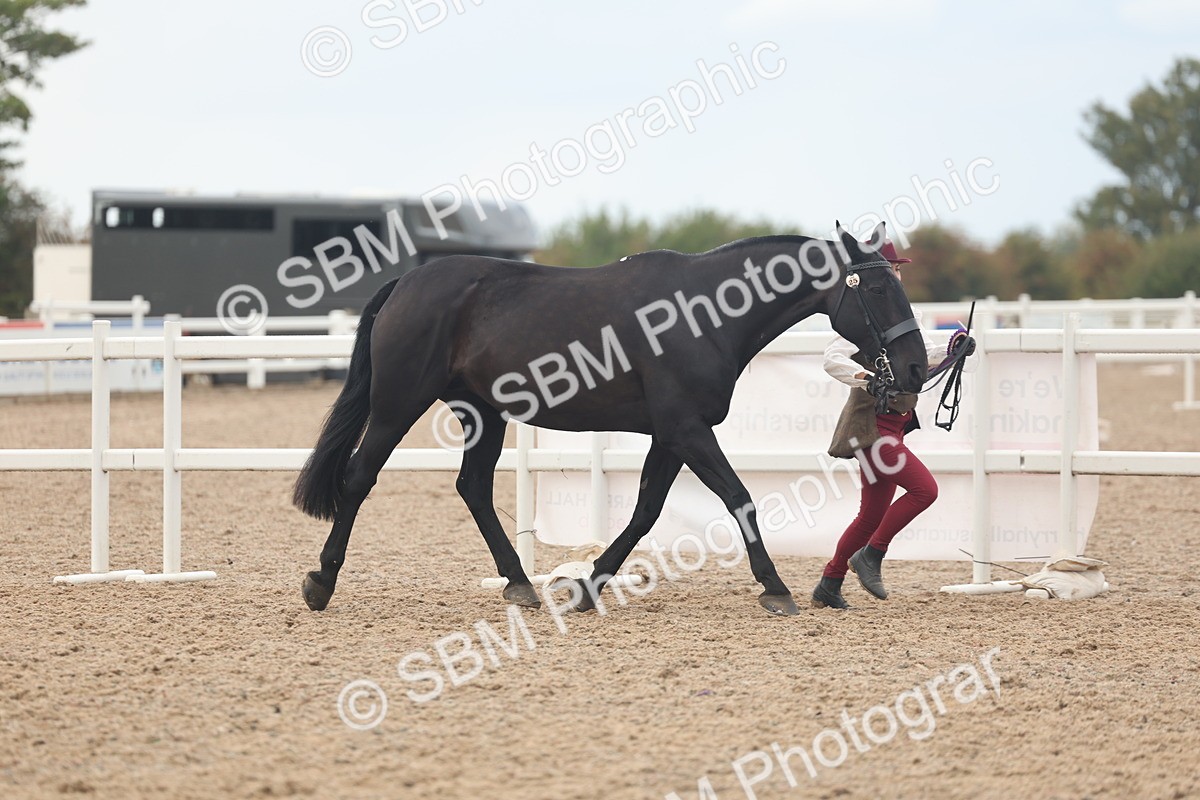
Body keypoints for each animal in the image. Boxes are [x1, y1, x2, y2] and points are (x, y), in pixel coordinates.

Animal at [293, 221, 929, 617]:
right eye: (875, 288)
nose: (916, 366)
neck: (702, 315)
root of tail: (407, 280)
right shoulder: (686, 430)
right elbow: (739, 498)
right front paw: (774, 587)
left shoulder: (671, 436)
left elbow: (646, 510)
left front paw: (588, 587)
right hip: (397, 405)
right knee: (360, 478)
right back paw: (321, 582)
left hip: (484, 413)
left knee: (472, 486)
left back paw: (519, 584)